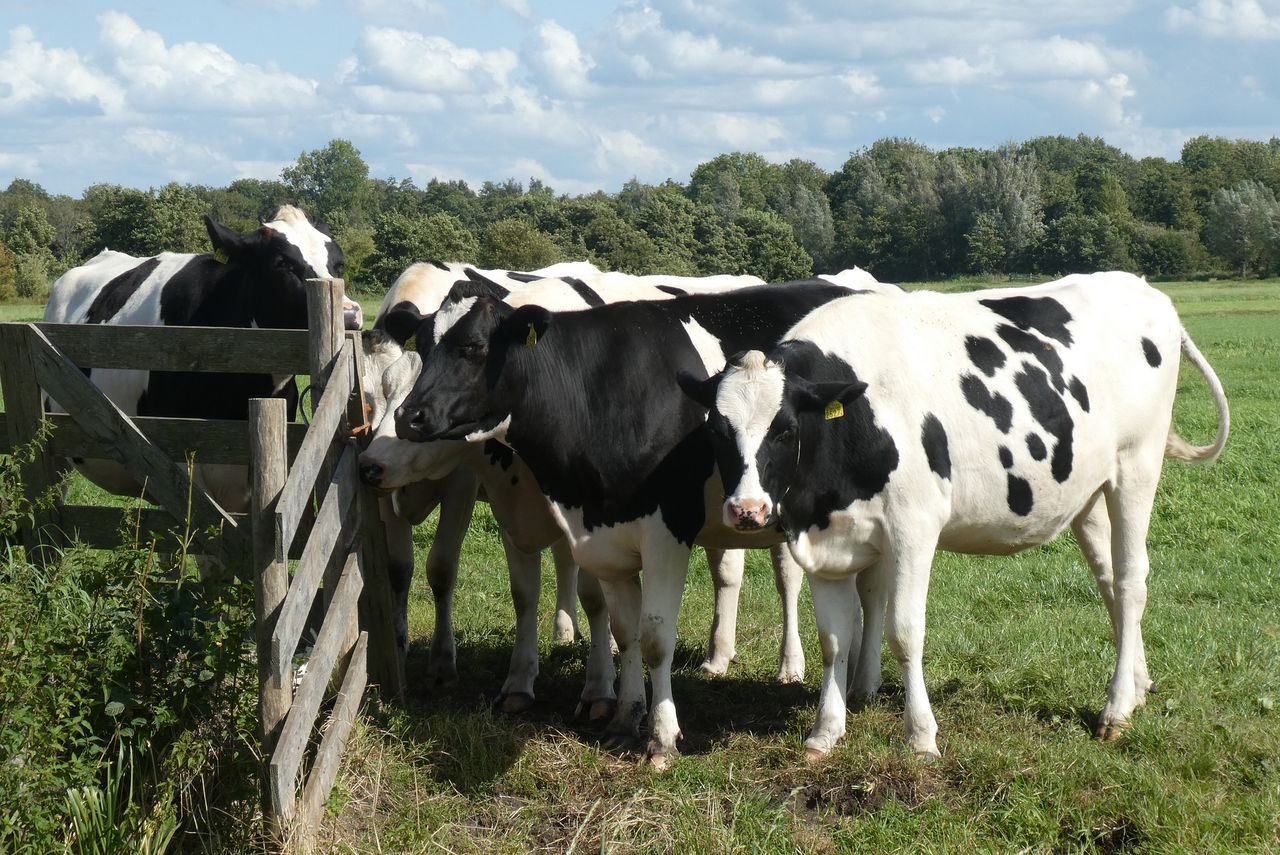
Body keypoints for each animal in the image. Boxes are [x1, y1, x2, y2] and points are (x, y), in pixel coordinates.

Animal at [394, 280, 865, 767]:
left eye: (474, 347)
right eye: (422, 346)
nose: (408, 417)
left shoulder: (667, 533)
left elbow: (655, 635)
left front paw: (662, 737)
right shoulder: (603, 533)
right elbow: (625, 630)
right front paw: (624, 719)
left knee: (793, 579)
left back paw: (795, 669)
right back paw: (854, 683)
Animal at [680, 273, 1228, 762]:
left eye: (785, 429)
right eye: (717, 431)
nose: (747, 510)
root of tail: (1143, 289)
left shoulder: (914, 527)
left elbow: (905, 632)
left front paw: (921, 737)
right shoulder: (822, 538)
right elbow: (834, 640)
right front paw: (825, 733)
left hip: (1137, 466)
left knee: (1132, 580)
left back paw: (1115, 711)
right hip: (1089, 493)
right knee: (1111, 580)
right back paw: (1136, 685)